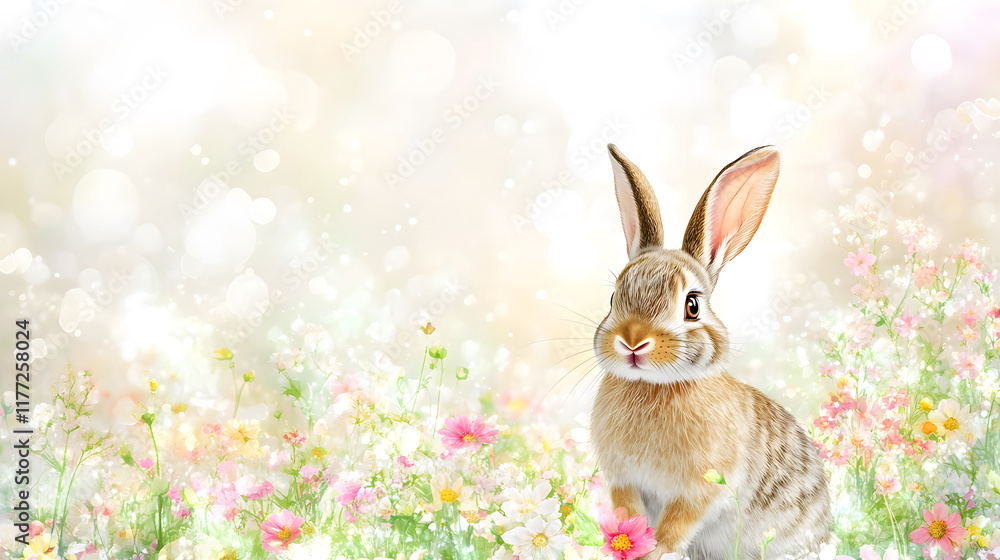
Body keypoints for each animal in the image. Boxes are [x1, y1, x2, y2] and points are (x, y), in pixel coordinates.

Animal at [590, 144, 831, 560]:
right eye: (613, 298)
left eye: (692, 306)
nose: (633, 342)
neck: (654, 386)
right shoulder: (624, 481)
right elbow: (629, 515)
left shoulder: (700, 490)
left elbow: (676, 525)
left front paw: (656, 552)